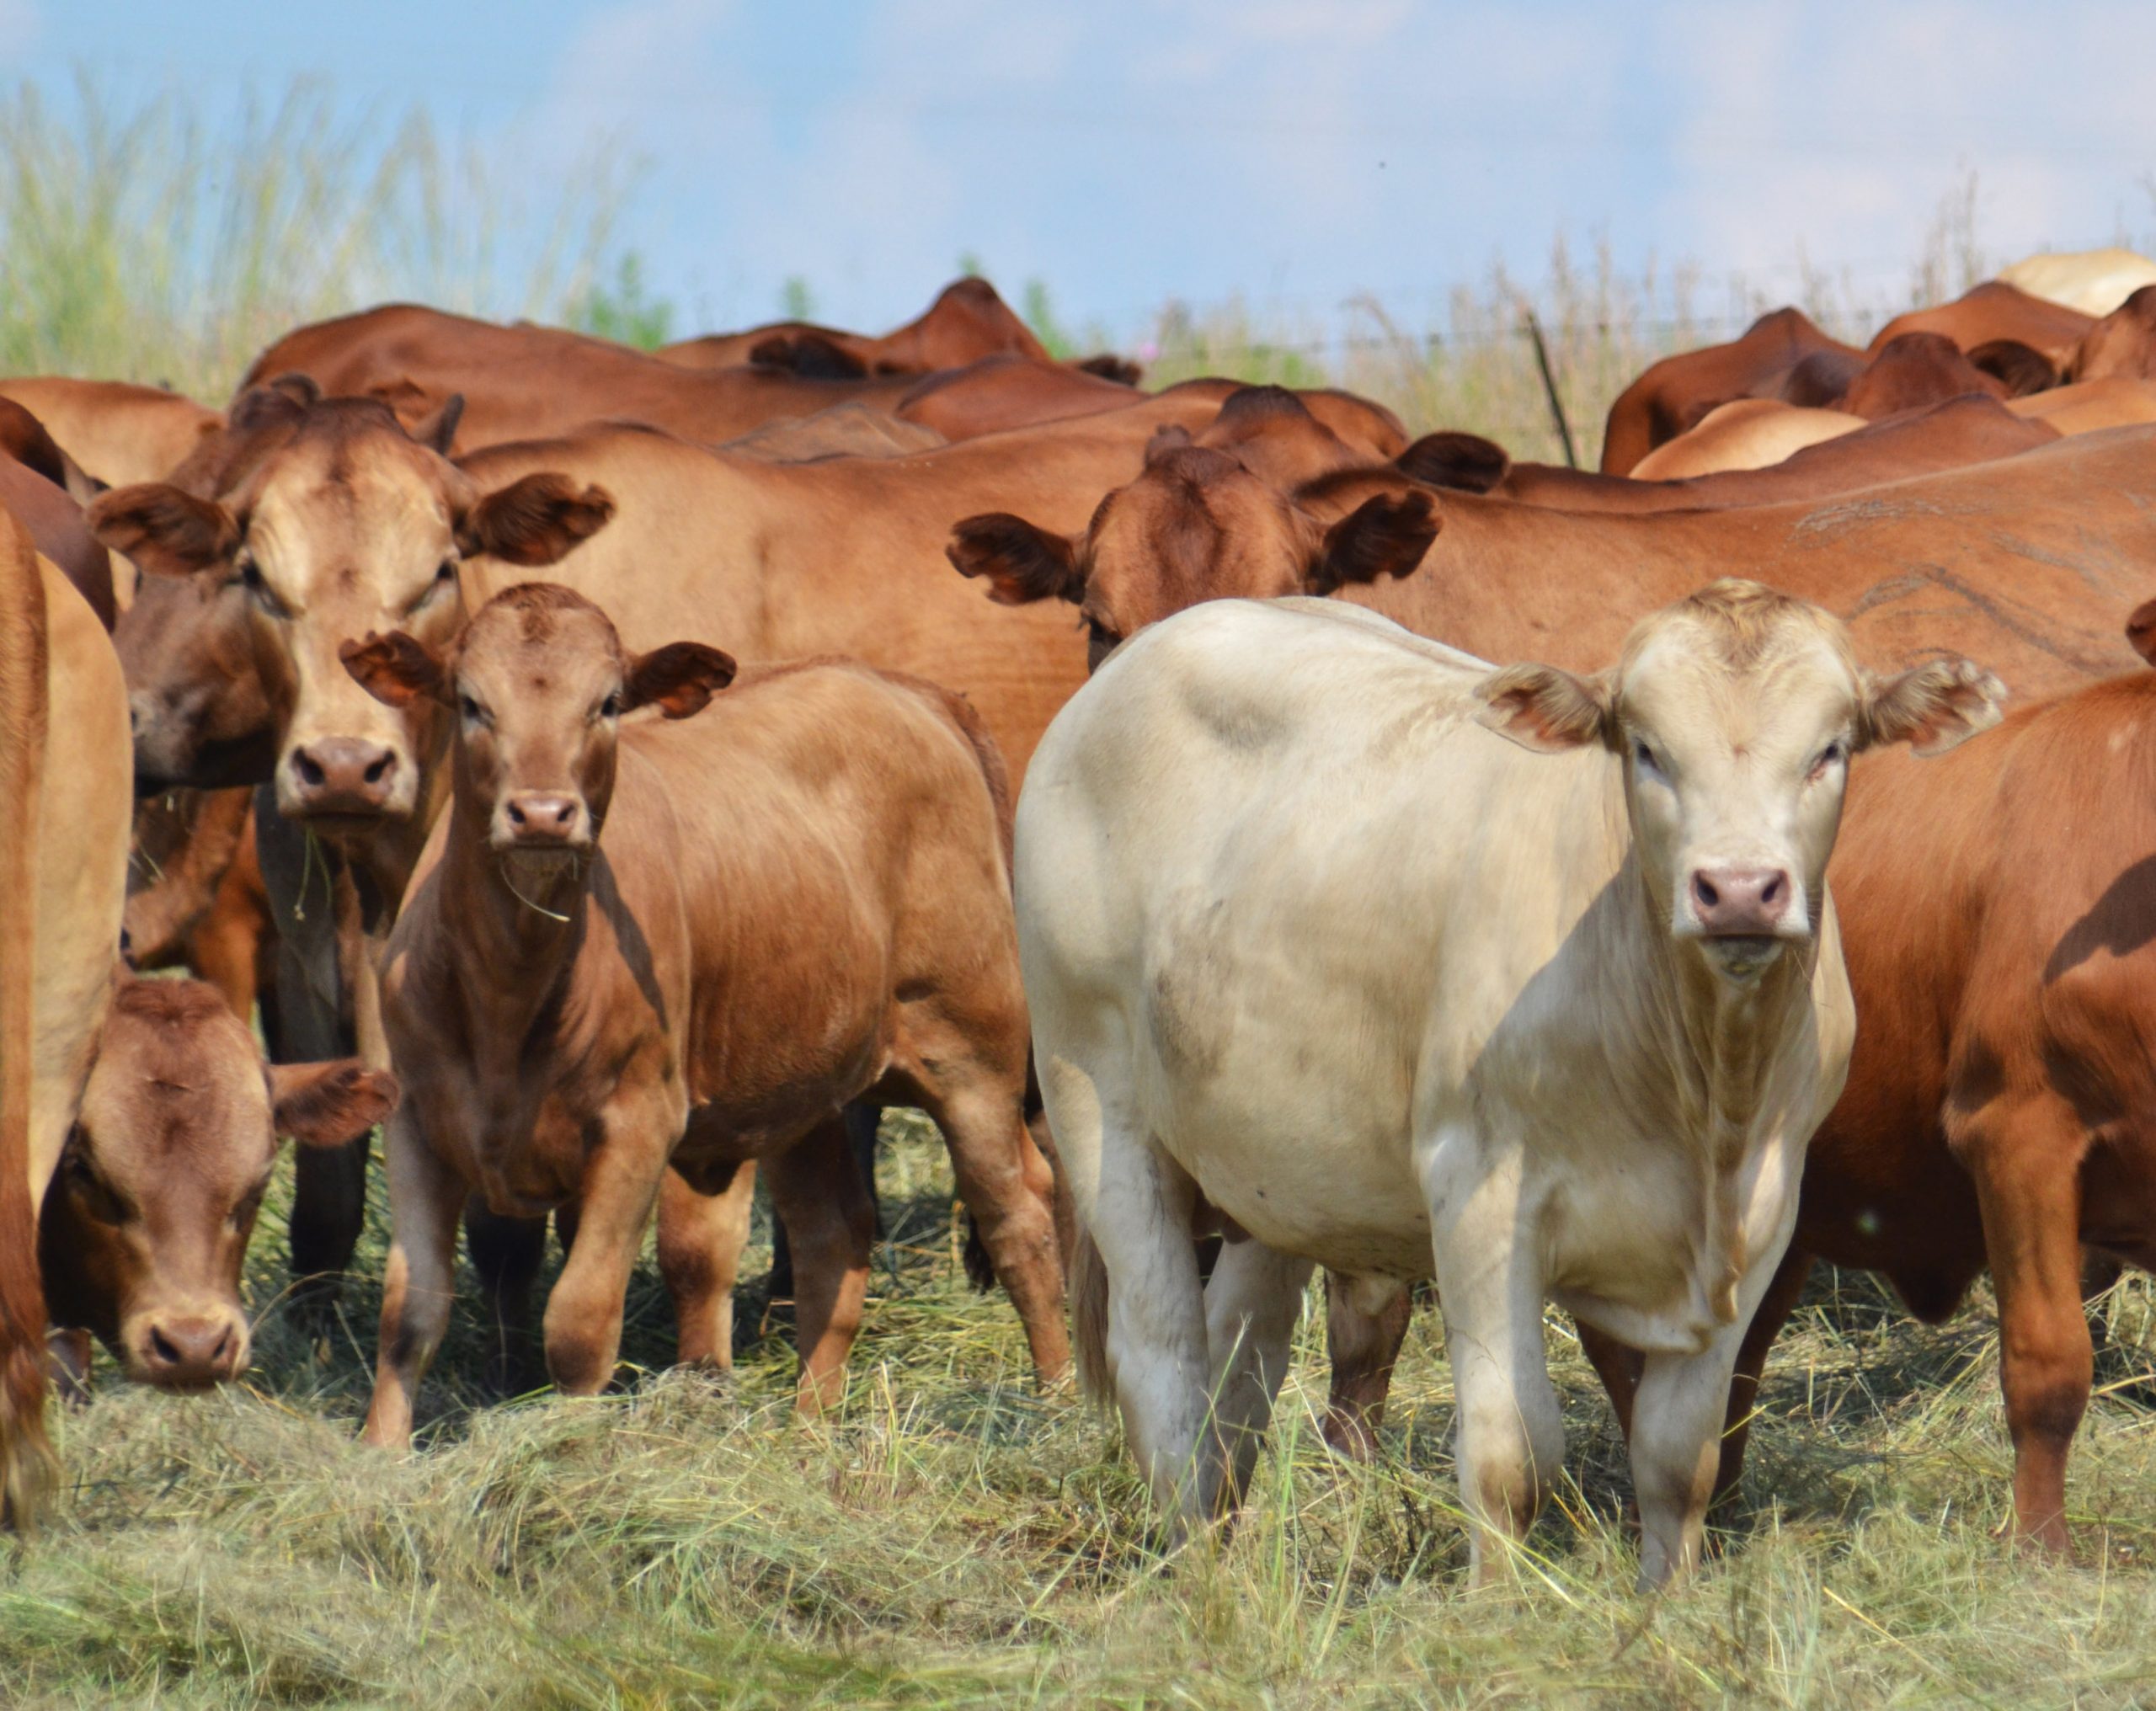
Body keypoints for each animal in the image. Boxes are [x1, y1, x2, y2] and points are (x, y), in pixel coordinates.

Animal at [341, 584, 1069, 1442]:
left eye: (607, 703)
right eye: (470, 702)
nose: (544, 813)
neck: (508, 997)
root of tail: (906, 688)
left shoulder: (638, 1127)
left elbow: (580, 1323)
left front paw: (569, 1449)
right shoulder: (416, 1119)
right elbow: (409, 1317)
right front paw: (381, 1455)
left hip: (972, 1055)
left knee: (1019, 1216)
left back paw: (1061, 1404)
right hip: (804, 1083)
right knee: (833, 1235)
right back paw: (808, 1427)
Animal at [1018, 584, 1999, 1584]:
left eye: (1829, 748)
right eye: (1647, 748)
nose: (1736, 890)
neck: (1697, 1091)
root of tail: (1151, 644)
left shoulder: (1762, 1215)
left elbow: (1678, 1458)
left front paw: (1669, 1599)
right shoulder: (1480, 1192)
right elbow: (1509, 1455)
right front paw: (1498, 1606)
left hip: (1270, 1169)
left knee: (1238, 1359)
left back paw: (1230, 1548)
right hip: (1096, 1098)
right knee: (1160, 1358)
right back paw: (1200, 1573)